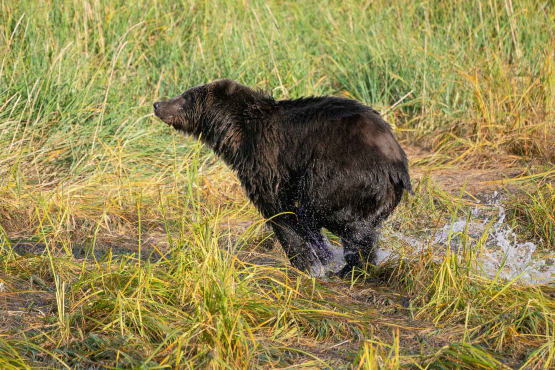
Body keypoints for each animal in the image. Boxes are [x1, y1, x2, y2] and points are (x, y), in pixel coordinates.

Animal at [153, 80, 412, 278]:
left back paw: (352, 265)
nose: (157, 104)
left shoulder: (267, 160)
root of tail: (397, 163)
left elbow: (278, 211)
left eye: (186, 97)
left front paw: (308, 263)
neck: (237, 133)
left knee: (331, 214)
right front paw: (319, 258)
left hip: (346, 173)